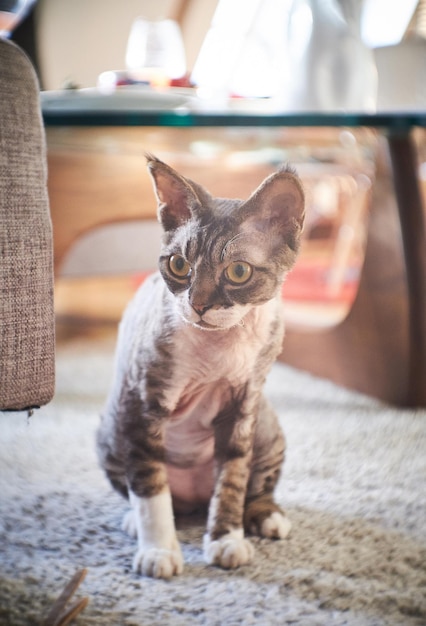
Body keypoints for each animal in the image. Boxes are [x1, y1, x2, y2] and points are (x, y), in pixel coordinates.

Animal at [97, 154, 302, 576]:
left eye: (238, 272)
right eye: (178, 265)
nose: (198, 304)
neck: (219, 348)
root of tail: (193, 500)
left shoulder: (243, 404)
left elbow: (233, 479)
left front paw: (226, 539)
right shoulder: (141, 405)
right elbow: (150, 488)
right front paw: (159, 550)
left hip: (265, 424)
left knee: (256, 486)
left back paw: (266, 515)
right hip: (110, 429)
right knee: (152, 489)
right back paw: (139, 521)